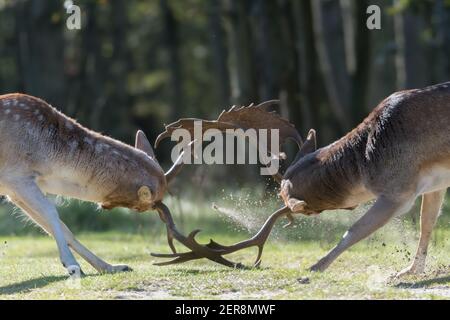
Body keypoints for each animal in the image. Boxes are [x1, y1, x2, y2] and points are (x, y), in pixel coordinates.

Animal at [0, 93, 192, 278]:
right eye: (141, 208)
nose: (103, 207)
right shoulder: (16, 176)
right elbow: (51, 212)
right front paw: (72, 265)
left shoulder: (13, 191)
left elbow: (59, 226)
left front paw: (111, 267)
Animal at [152, 82, 450, 278]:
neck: (366, 163)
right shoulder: (434, 184)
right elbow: (426, 224)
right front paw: (410, 271)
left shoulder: (398, 188)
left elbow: (354, 230)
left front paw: (315, 266)